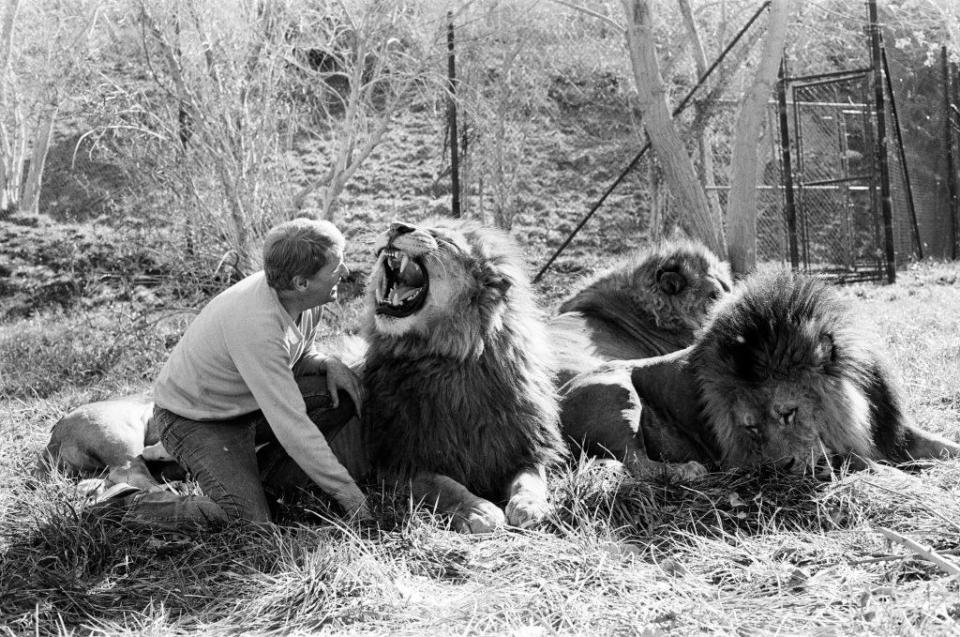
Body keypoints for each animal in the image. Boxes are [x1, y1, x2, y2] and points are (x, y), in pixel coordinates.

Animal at [364, 219, 568, 532]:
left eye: (442, 239)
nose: (396, 225)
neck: (449, 361)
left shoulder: (522, 446)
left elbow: (530, 479)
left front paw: (529, 506)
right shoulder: (398, 460)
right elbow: (444, 485)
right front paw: (479, 510)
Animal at [560, 268, 960, 476]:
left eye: (788, 413)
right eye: (750, 427)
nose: (780, 468)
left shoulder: (891, 426)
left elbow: (943, 445)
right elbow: (874, 465)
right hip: (615, 393)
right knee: (638, 465)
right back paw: (687, 471)